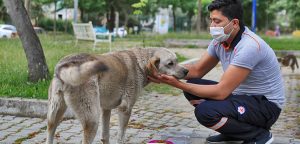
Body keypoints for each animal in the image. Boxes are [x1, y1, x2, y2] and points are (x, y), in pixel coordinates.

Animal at [46, 48, 189, 144]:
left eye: (177, 61)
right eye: (170, 63)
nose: (187, 71)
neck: (140, 63)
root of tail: (64, 65)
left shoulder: (106, 109)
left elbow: (105, 136)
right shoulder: (125, 109)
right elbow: (121, 137)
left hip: (55, 114)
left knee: (50, 132)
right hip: (92, 120)